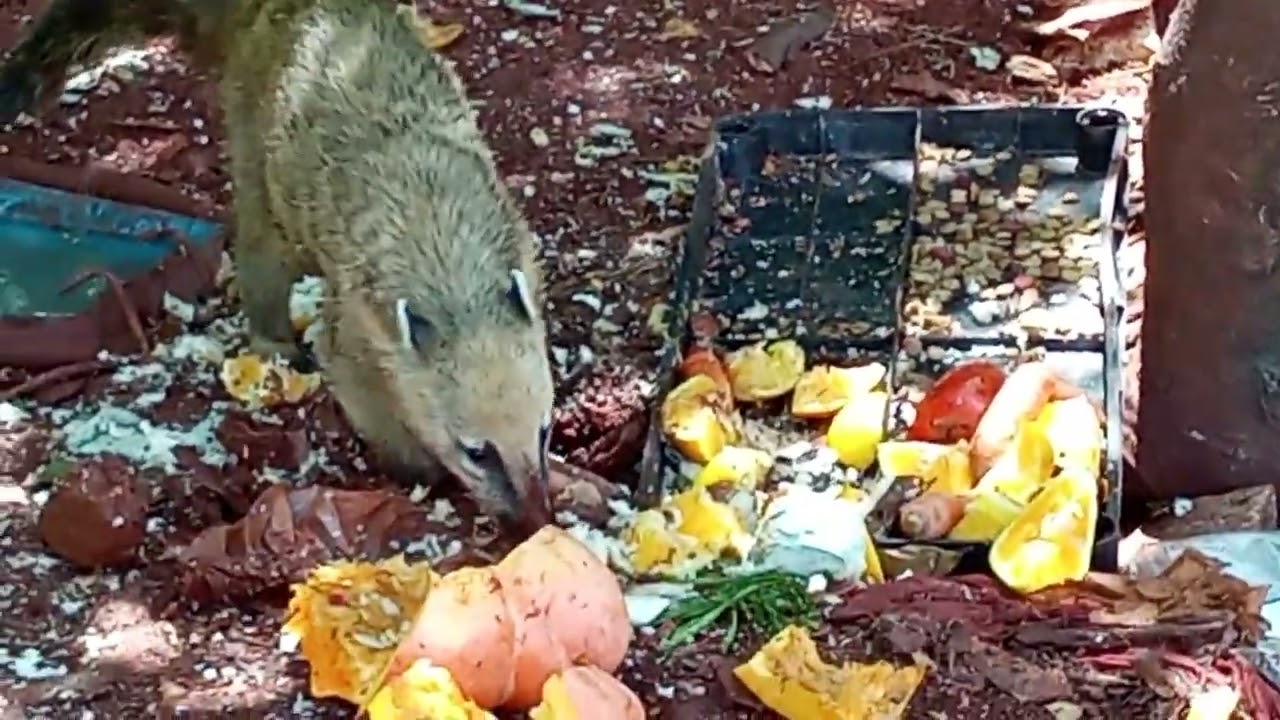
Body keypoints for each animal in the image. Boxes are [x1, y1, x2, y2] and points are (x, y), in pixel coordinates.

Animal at [0, 0, 557, 535]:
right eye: (476, 452)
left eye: (545, 430)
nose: (535, 521)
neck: (449, 269)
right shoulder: (361, 317)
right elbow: (351, 375)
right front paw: (415, 463)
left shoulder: (519, 247)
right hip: (254, 128)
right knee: (262, 247)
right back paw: (273, 338)